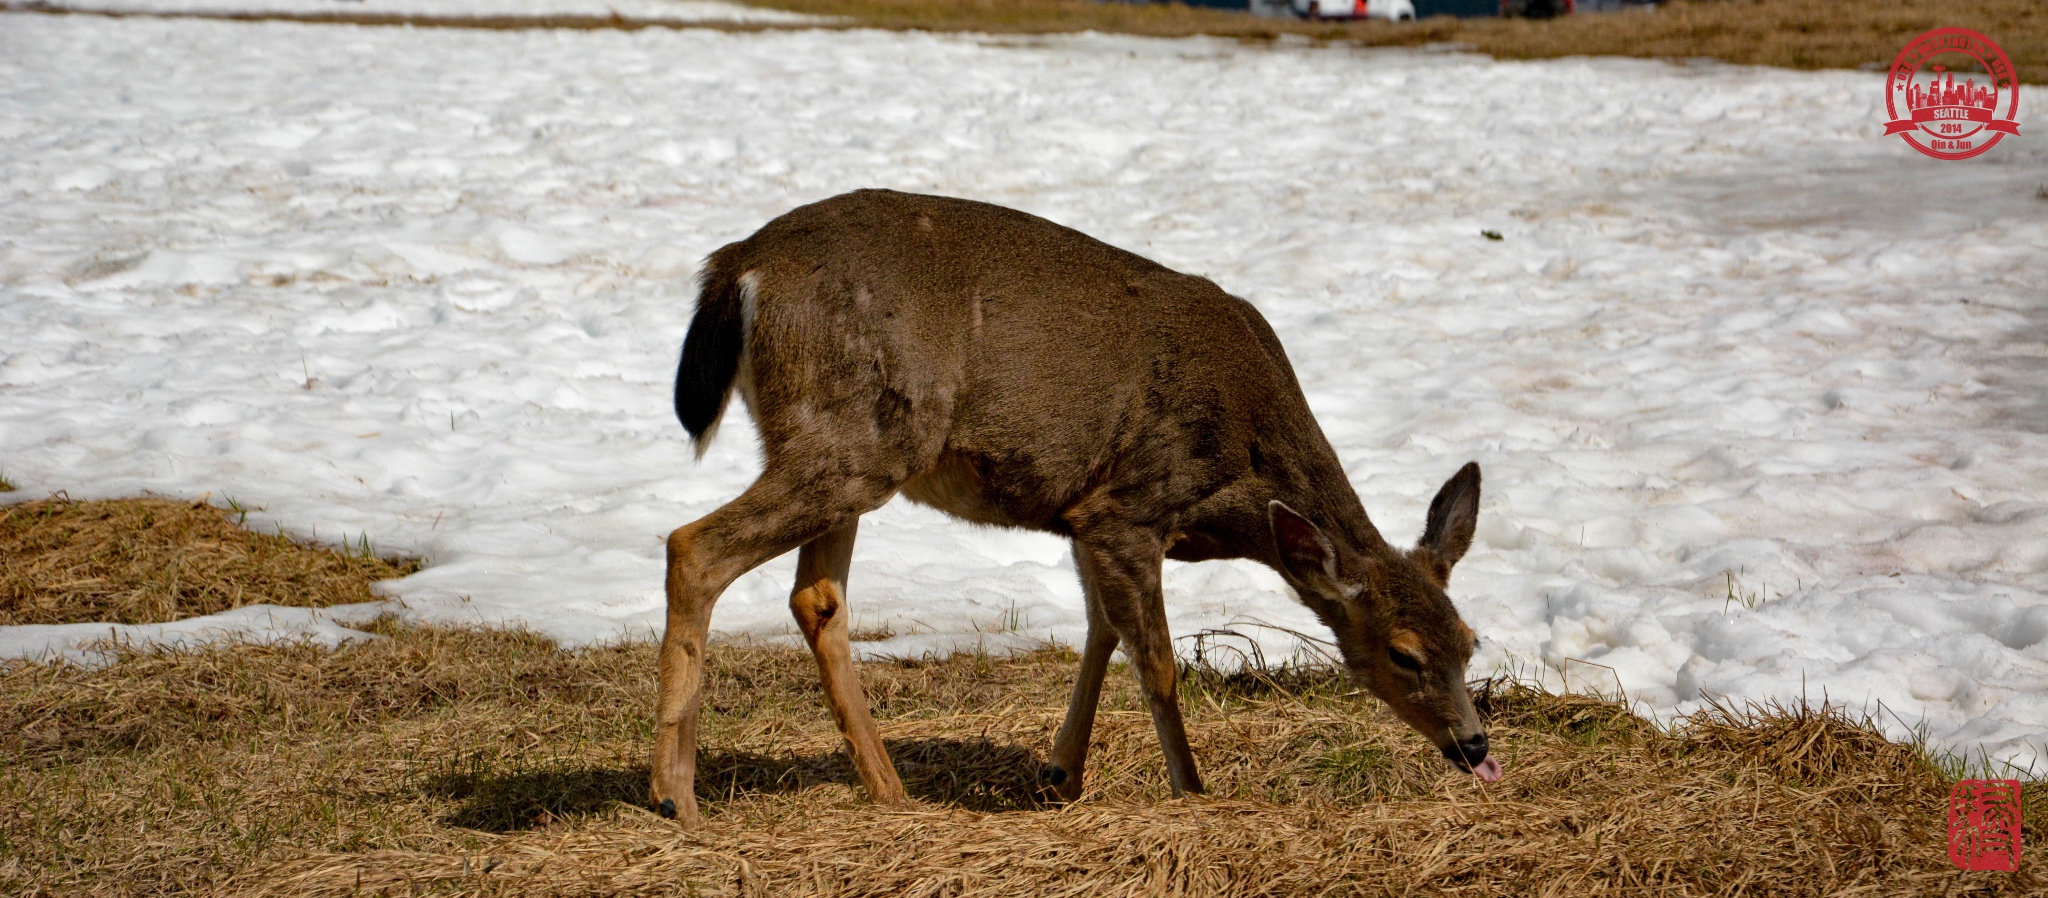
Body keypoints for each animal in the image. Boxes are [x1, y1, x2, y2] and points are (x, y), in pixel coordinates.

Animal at [655, 189, 1507, 828]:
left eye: (1470, 640)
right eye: (1403, 653)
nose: (1473, 745)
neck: (1240, 479)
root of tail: (739, 265)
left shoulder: (1083, 514)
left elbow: (1100, 631)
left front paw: (1063, 773)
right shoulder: (1132, 506)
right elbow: (1156, 661)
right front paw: (1192, 791)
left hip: (855, 443)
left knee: (817, 596)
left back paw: (889, 790)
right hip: (855, 436)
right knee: (694, 546)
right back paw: (677, 796)